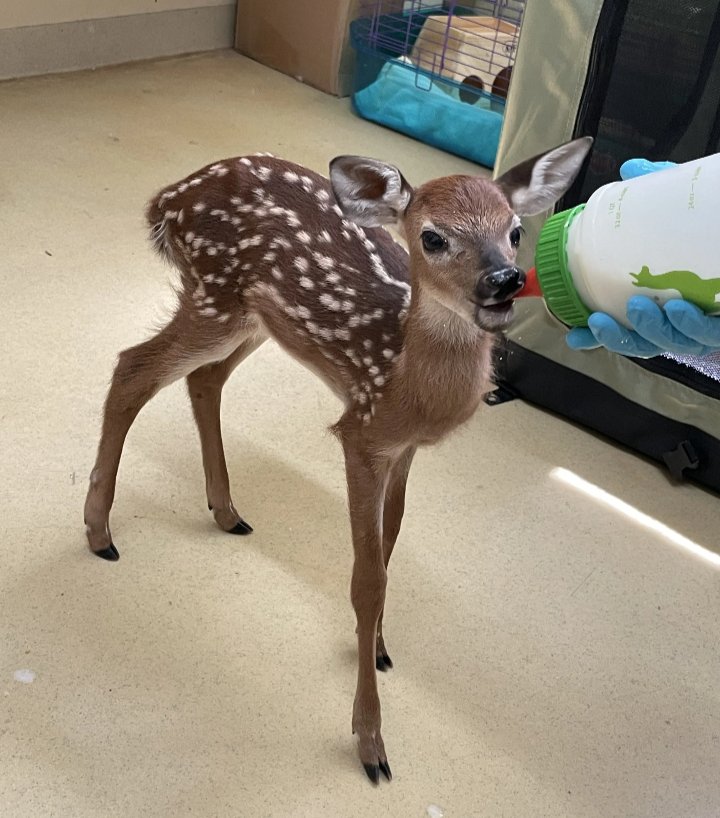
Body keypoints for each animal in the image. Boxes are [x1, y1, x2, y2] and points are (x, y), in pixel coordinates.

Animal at [83, 136, 592, 784]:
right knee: (133, 368)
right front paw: (371, 741)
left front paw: (375, 647)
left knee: (203, 379)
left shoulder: (403, 449)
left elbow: (391, 544)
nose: (503, 280)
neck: (405, 380)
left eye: (515, 230)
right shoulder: (361, 435)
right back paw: (99, 532)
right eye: (432, 237)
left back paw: (226, 511)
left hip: (256, 318)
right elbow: (366, 579)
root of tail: (169, 197)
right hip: (215, 294)